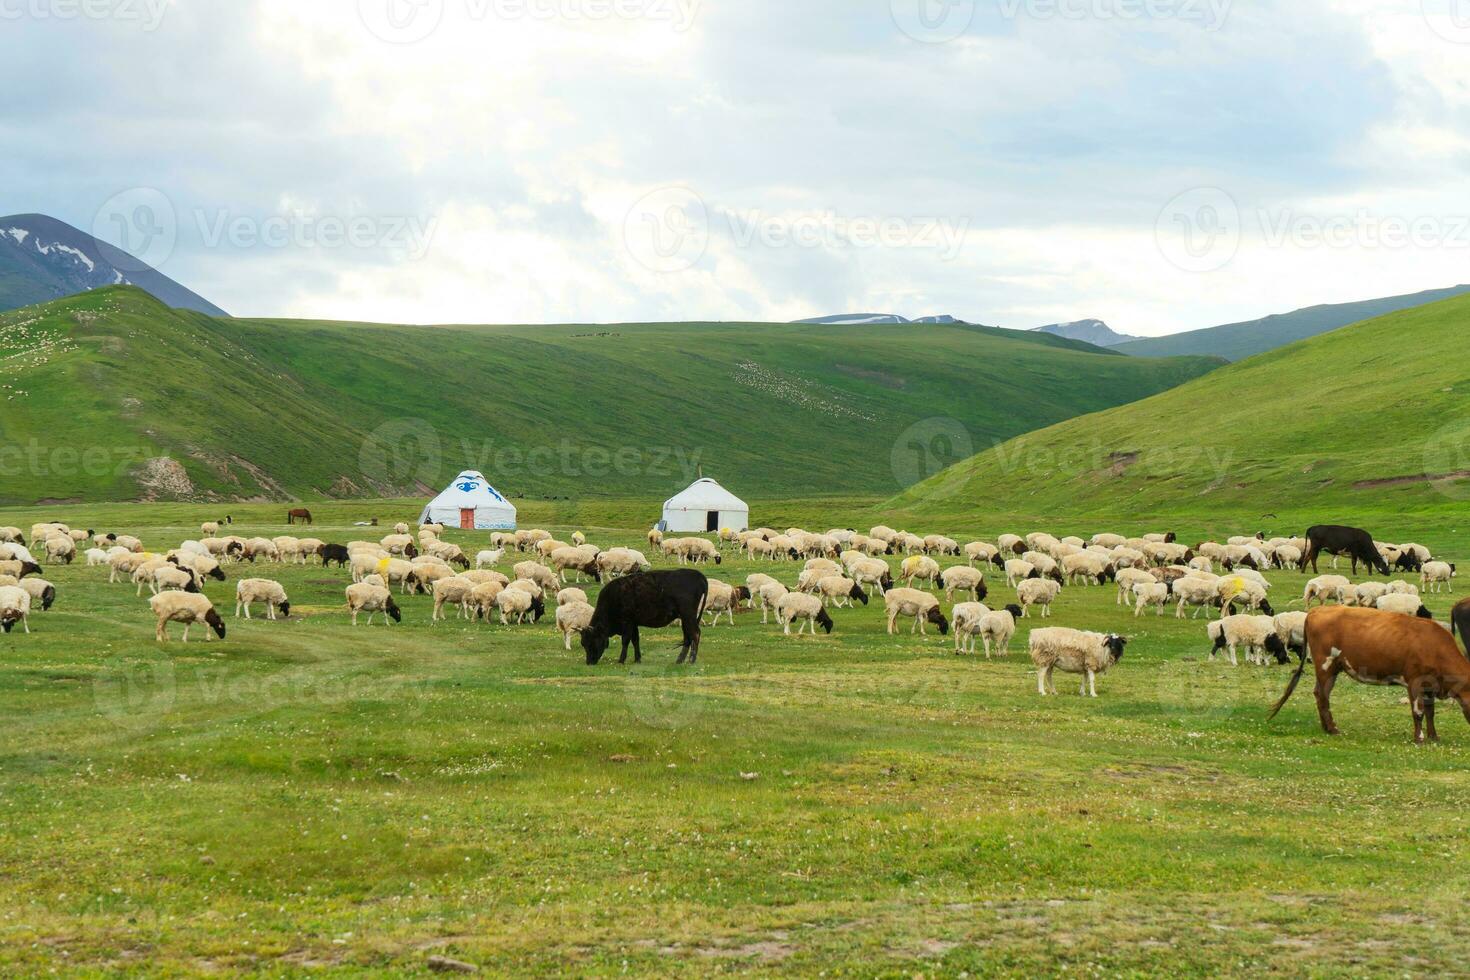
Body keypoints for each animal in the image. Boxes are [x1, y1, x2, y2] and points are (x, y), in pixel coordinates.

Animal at [1264, 605, 1470, 743]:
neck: (1434, 646)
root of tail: (1317, 610)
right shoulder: (1414, 682)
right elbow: (1418, 712)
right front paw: (1419, 738)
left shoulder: (1430, 685)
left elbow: (1430, 711)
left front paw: (1434, 736)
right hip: (1325, 665)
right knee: (1322, 696)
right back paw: (1332, 728)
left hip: (1333, 668)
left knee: (1320, 694)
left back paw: (1326, 727)